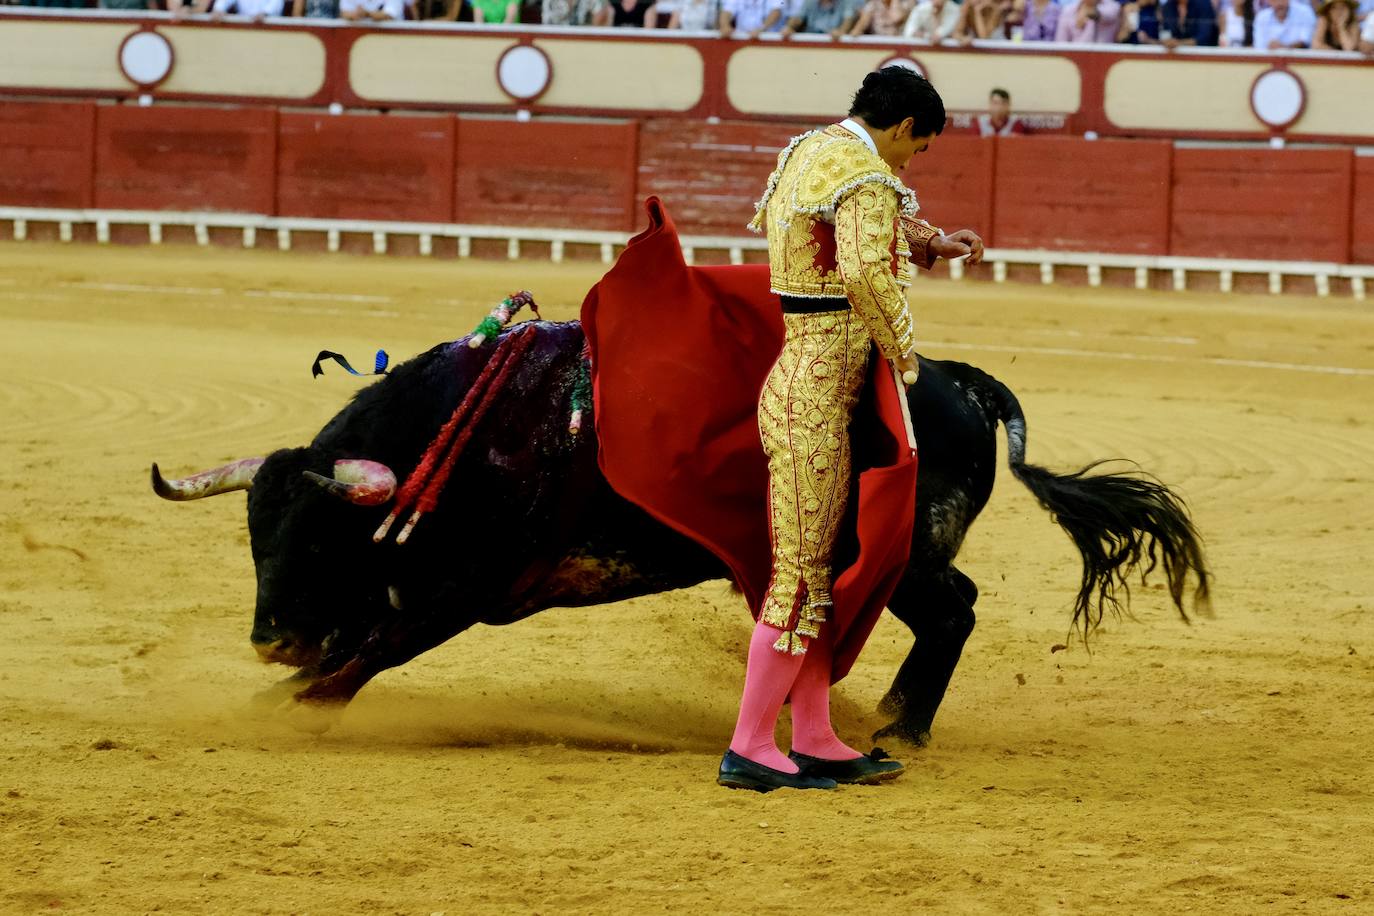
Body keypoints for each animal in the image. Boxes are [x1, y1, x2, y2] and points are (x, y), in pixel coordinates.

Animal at [150, 321, 1209, 747]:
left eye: (316, 539)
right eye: (254, 539)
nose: (268, 638)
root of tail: (953, 380)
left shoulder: (467, 592)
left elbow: (365, 657)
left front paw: (282, 707)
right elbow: (357, 645)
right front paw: (277, 691)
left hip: (898, 552)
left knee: (953, 612)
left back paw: (897, 724)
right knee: (949, 614)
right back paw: (879, 713)